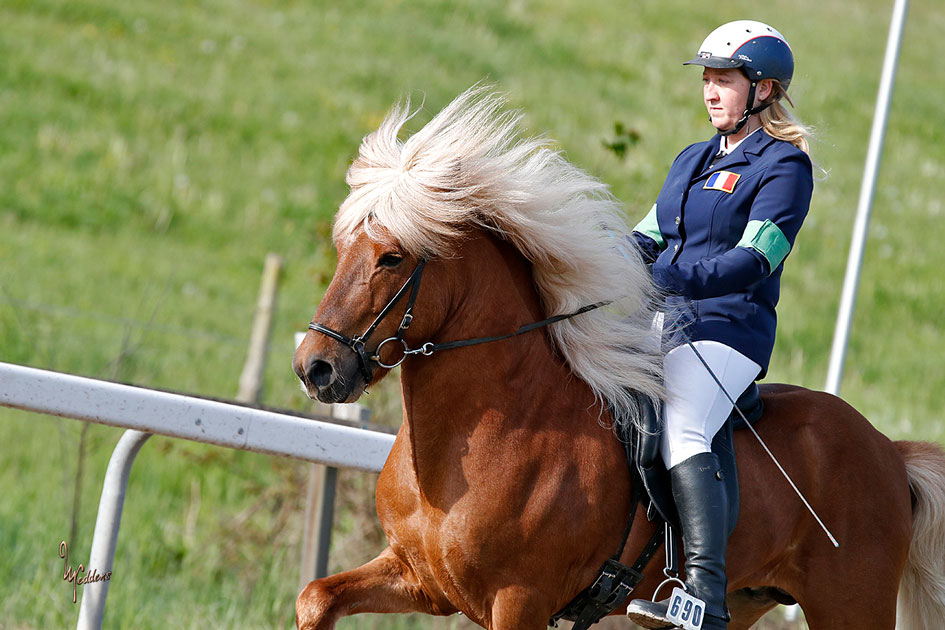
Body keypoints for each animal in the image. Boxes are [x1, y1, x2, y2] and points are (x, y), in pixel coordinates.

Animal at [294, 90, 944, 630]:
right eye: (343, 245)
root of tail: (888, 450)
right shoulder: (421, 579)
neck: (502, 423)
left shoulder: (519, 603)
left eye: (392, 258)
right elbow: (315, 598)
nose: (314, 369)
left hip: (850, 606)